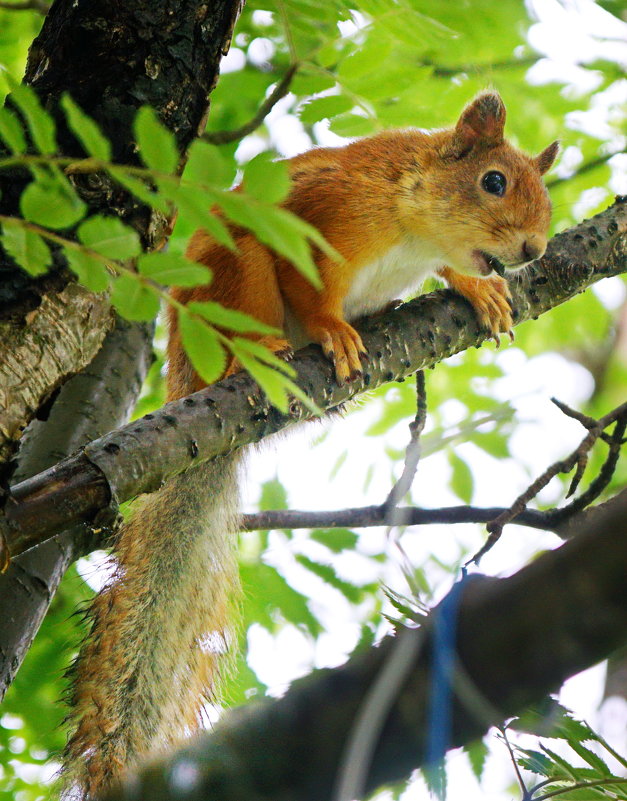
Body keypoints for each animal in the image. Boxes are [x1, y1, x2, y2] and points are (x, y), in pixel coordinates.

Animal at [61, 92, 556, 792]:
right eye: (494, 182)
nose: (534, 249)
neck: (414, 220)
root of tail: (185, 376)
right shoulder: (319, 212)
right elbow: (311, 288)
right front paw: (331, 328)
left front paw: (478, 290)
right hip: (235, 269)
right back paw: (263, 351)